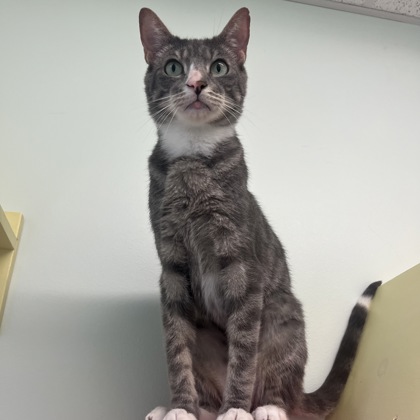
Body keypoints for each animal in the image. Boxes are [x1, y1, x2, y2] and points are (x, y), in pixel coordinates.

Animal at [138, 7, 381, 420]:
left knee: (280, 385)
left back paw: (265, 407)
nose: (197, 83)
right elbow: (176, 348)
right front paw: (181, 408)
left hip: (284, 313)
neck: (192, 159)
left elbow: (244, 350)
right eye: (173, 66)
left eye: (219, 66)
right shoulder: (171, 269)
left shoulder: (241, 267)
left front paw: (236, 409)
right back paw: (194, 408)